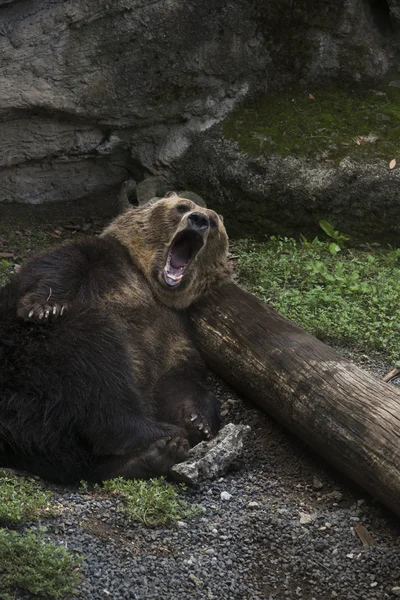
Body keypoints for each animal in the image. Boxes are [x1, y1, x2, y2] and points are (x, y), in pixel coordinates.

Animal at [0, 195, 231, 486]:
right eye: (182, 207)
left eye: (213, 221)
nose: (198, 220)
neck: (149, 281)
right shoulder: (101, 259)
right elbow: (59, 265)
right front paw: (42, 307)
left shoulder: (175, 330)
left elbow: (178, 377)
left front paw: (199, 420)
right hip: (26, 355)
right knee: (95, 355)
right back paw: (156, 433)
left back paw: (152, 456)